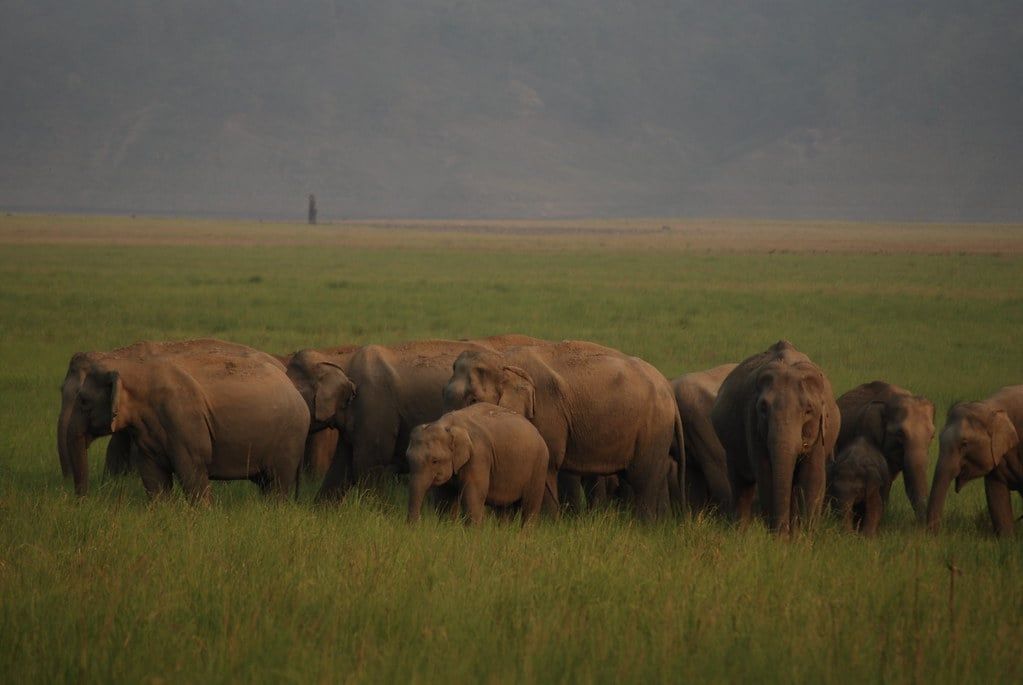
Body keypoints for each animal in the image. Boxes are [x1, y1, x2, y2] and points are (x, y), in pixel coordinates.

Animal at [60, 340, 309, 502]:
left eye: (84, 401)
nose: (82, 501)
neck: (131, 366)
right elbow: (152, 475)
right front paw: (162, 513)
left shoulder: (184, 419)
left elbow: (192, 469)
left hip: (289, 437)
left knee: (277, 483)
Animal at [285, 335, 547, 502]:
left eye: (295, 391)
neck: (341, 359)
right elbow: (341, 466)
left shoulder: (374, 408)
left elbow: (368, 464)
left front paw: (373, 513)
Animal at [406, 403, 552, 526]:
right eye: (408, 458)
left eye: (435, 461)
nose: (417, 523)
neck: (450, 425)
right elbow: (445, 497)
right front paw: (446, 526)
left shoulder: (479, 455)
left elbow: (474, 493)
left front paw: (472, 532)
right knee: (504, 509)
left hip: (539, 465)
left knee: (530, 506)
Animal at [442, 340, 685, 521]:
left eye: (473, 400)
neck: (503, 359)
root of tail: (667, 387)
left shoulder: (547, 411)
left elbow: (548, 462)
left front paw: (548, 525)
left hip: (654, 426)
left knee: (643, 478)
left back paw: (644, 526)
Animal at [711, 340, 840, 535]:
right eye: (763, 408)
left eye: (808, 410)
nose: (782, 532)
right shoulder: (752, 421)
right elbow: (765, 474)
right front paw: (779, 538)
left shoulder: (819, 431)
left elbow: (813, 477)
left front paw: (804, 537)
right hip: (731, 448)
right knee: (741, 484)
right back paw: (739, 533)